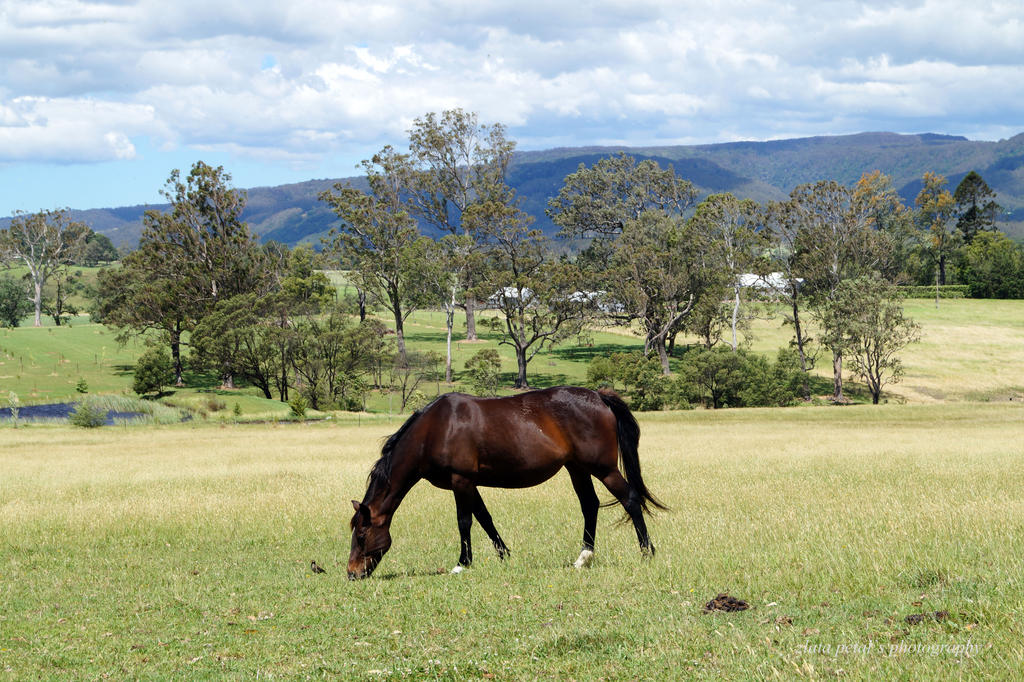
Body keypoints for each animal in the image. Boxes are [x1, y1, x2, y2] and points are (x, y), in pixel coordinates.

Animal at [346, 385, 663, 577]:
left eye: (361, 536)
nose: (352, 573)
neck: (435, 429)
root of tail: (599, 396)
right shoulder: (469, 484)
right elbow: (485, 518)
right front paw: (504, 555)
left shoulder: (461, 481)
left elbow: (465, 521)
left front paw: (462, 564)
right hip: (577, 468)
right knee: (590, 505)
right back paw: (583, 558)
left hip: (603, 468)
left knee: (630, 499)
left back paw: (646, 553)